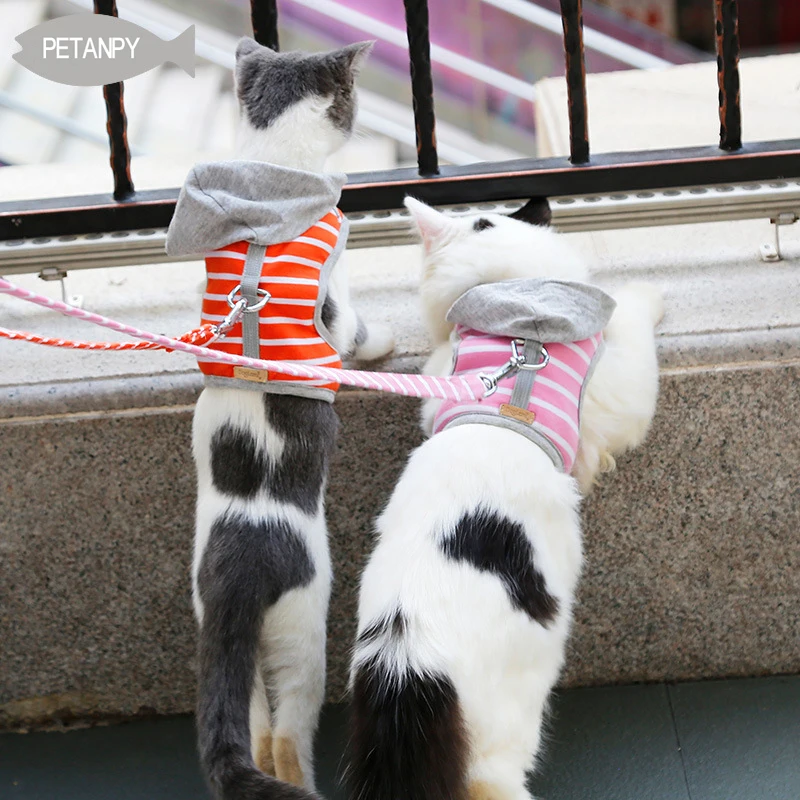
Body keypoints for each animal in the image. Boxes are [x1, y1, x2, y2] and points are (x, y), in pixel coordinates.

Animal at [168, 40, 390, 800]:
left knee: (256, 732)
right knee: (287, 738)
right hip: (301, 634)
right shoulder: (339, 293)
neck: (270, 178)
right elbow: (356, 332)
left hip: (223, 636)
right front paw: (384, 346)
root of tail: (239, 571)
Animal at [346, 198, 664, 800]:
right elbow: (633, 320)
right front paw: (647, 296)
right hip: (502, 741)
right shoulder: (618, 386)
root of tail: (406, 664)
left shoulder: (438, 378)